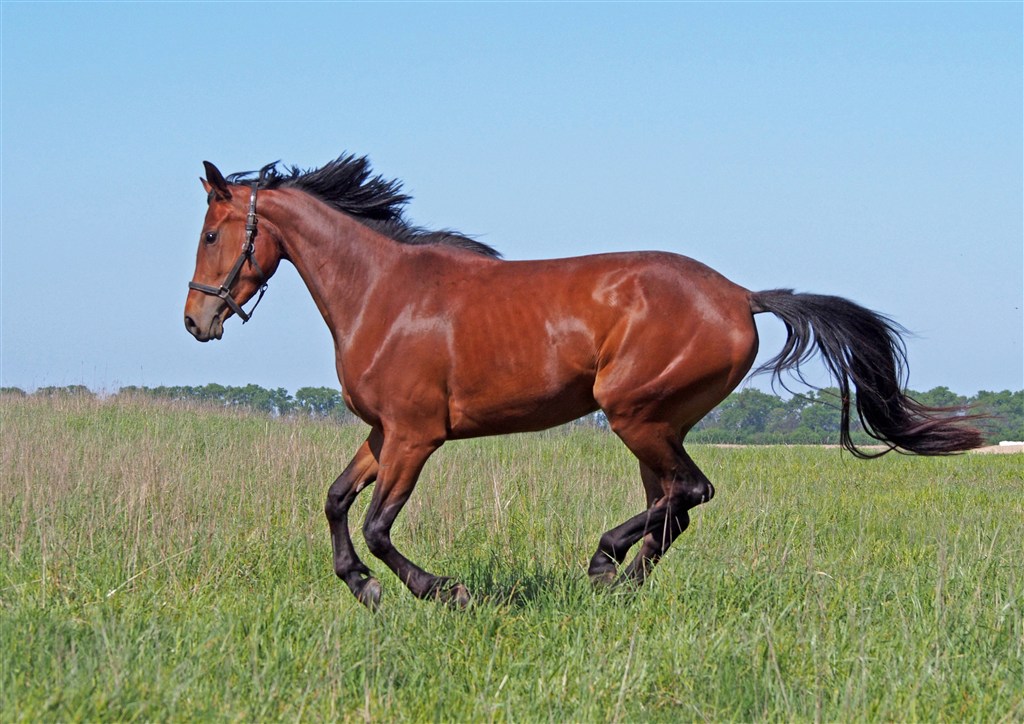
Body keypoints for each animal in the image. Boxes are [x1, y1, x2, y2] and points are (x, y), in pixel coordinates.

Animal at [186, 154, 983, 610]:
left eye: (210, 233)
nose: (196, 320)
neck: (383, 293)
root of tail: (739, 296)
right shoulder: (383, 434)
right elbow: (334, 501)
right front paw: (362, 586)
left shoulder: (415, 437)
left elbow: (380, 526)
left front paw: (441, 591)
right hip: (655, 424)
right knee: (674, 505)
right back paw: (621, 583)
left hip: (634, 413)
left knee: (688, 494)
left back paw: (605, 565)